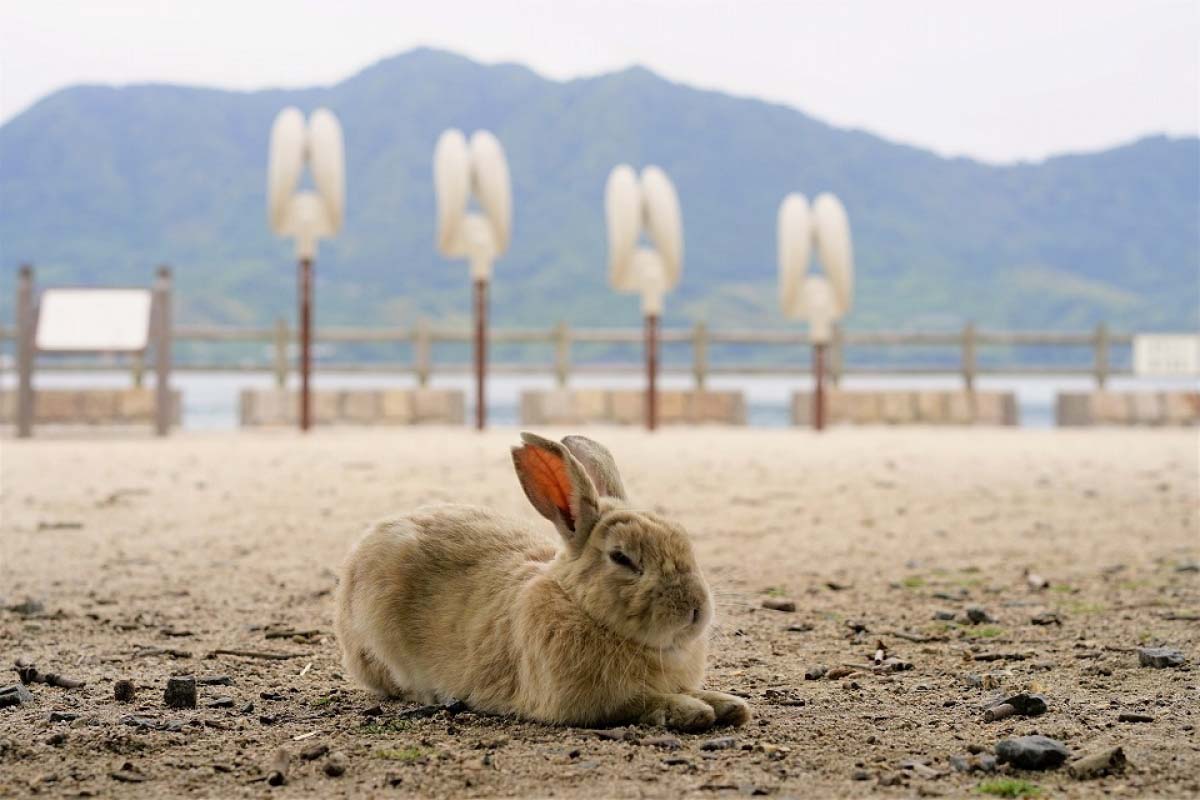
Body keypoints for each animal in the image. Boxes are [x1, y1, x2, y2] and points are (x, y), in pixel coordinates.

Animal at [333, 431, 748, 734]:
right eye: (622, 558)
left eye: (684, 538)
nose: (696, 610)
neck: (580, 606)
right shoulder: (592, 701)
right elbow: (642, 702)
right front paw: (691, 710)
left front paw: (729, 705)